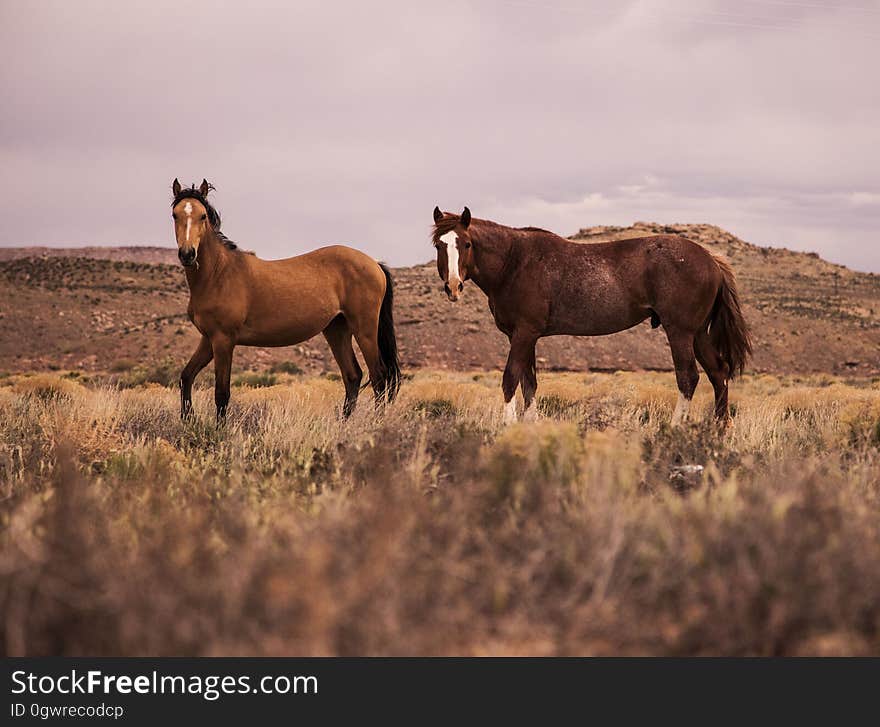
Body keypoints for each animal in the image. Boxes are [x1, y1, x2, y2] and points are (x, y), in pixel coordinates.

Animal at [169, 178, 402, 420]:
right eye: (175, 215)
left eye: (203, 216)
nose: (187, 254)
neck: (218, 274)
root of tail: (374, 264)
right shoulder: (208, 339)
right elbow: (186, 377)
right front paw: (188, 419)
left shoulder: (223, 340)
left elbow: (222, 393)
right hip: (337, 329)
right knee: (353, 376)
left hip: (364, 330)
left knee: (379, 377)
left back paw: (375, 422)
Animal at [430, 206, 752, 426]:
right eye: (439, 245)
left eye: (466, 244)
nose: (453, 286)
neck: (515, 262)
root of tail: (711, 259)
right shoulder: (526, 337)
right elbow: (529, 383)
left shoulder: (524, 334)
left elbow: (510, 379)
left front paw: (508, 426)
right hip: (698, 334)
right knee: (718, 373)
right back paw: (717, 430)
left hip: (680, 332)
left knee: (688, 378)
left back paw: (675, 429)